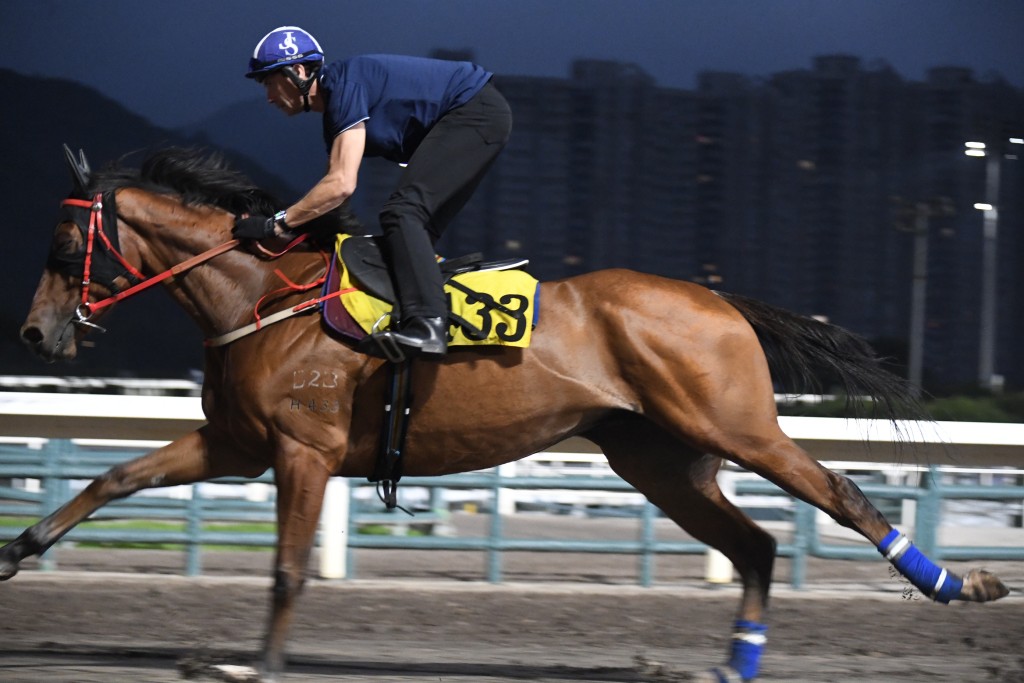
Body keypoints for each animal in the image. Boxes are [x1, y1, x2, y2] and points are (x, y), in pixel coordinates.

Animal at [0, 147, 1007, 679]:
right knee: (754, 544)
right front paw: (18, 550)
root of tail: (720, 299)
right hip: (658, 458)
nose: (36, 333)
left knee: (841, 493)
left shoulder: (302, 451)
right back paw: (734, 660)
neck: (262, 297)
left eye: (62, 241)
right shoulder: (238, 442)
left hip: (736, 426)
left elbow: (286, 570)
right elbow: (116, 473)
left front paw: (257, 662)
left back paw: (960, 584)